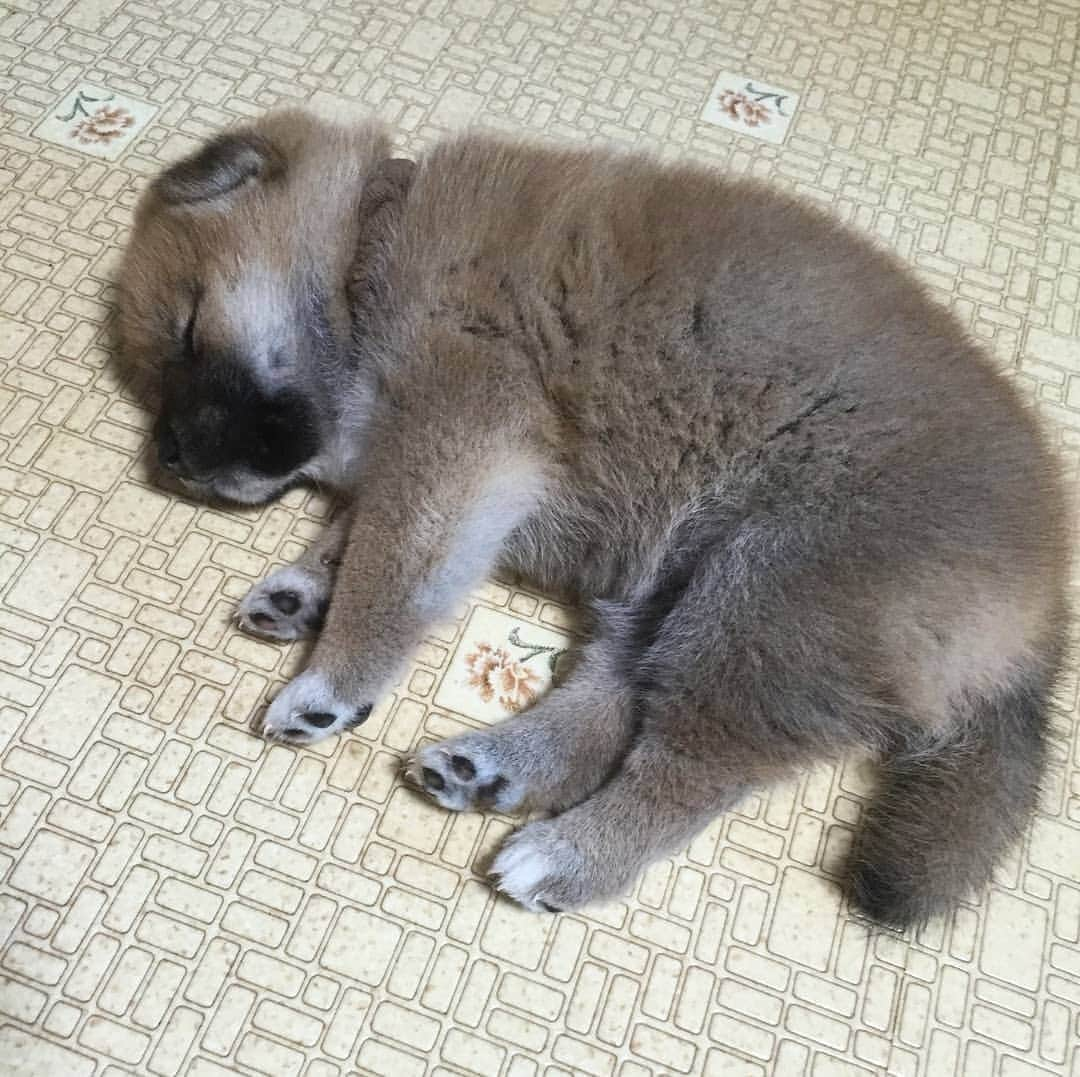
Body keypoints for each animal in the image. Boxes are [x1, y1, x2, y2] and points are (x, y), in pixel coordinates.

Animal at [120, 106, 1071, 924]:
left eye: (186, 331)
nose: (168, 456)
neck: (373, 247)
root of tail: (1040, 623)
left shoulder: (459, 438)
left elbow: (390, 576)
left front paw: (330, 676)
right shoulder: (437, 468)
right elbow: (357, 537)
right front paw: (303, 586)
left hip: (766, 602)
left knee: (684, 772)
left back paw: (568, 854)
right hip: (675, 588)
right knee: (613, 705)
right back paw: (494, 767)